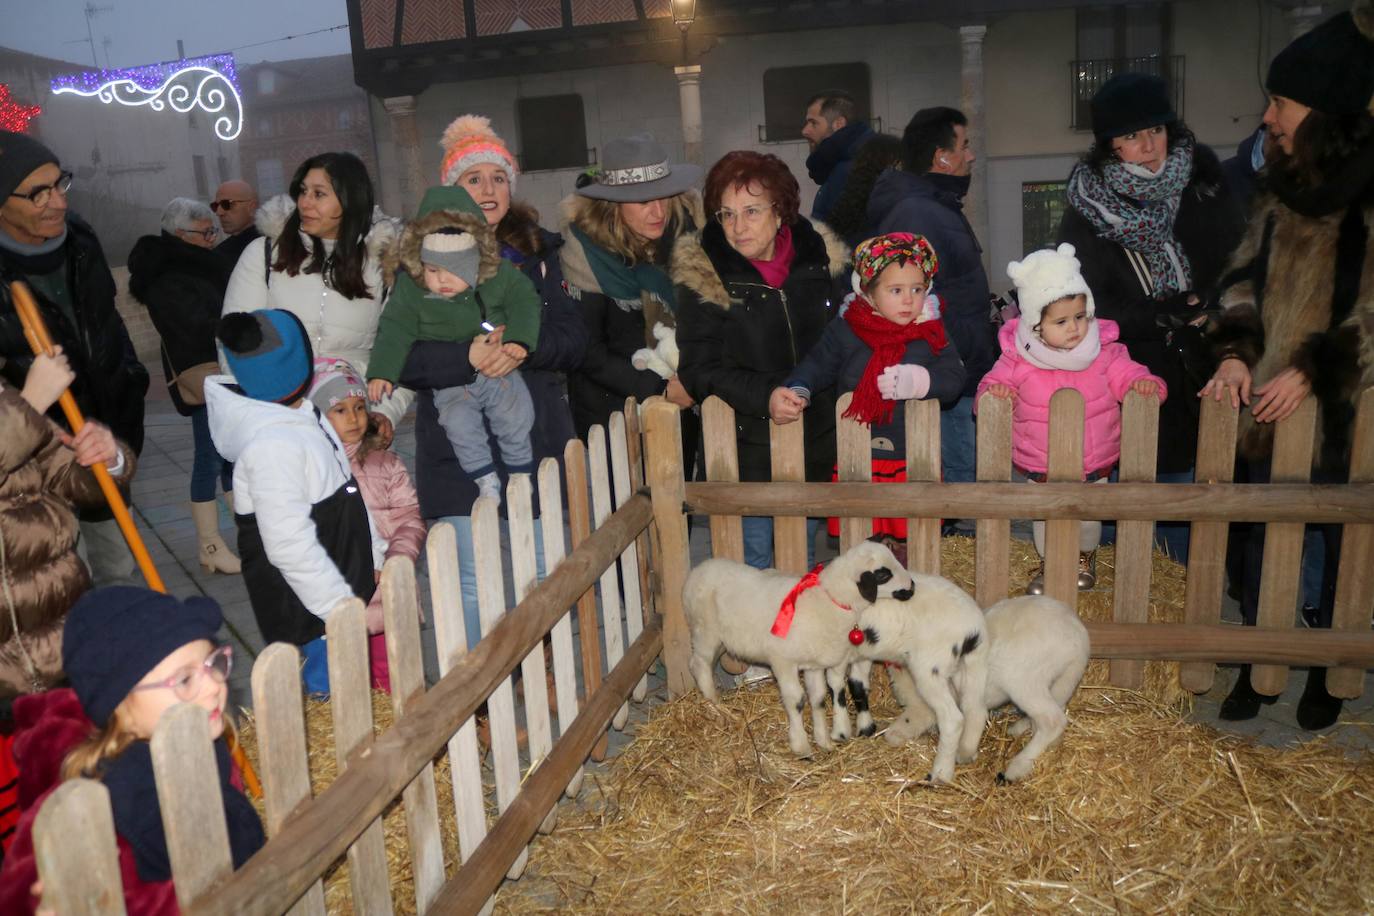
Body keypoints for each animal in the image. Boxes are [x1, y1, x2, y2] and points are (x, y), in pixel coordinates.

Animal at [684, 541, 912, 758]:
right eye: (883, 574)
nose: (912, 587)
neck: (829, 600)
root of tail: (697, 571)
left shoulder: (813, 665)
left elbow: (818, 698)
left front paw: (823, 741)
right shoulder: (783, 661)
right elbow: (797, 701)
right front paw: (801, 746)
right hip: (706, 631)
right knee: (699, 664)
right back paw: (714, 704)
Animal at [846, 576, 989, 785]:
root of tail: (975, 630)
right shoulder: (861, 654)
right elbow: (857, 684)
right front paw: (865, 727)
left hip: (929, 668)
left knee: (953, 718)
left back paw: (940, 773)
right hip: (971, 667)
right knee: (976, 710)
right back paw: (965, 753)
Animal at [884, 598, 1088, 785]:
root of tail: (1080, 639)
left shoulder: (926, 706)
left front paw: (961, 752)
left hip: (1023, 680)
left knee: (1052, 720)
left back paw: (1017, 768)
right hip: (1063, 681)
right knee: (1054, 711)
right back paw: (1022, 729)